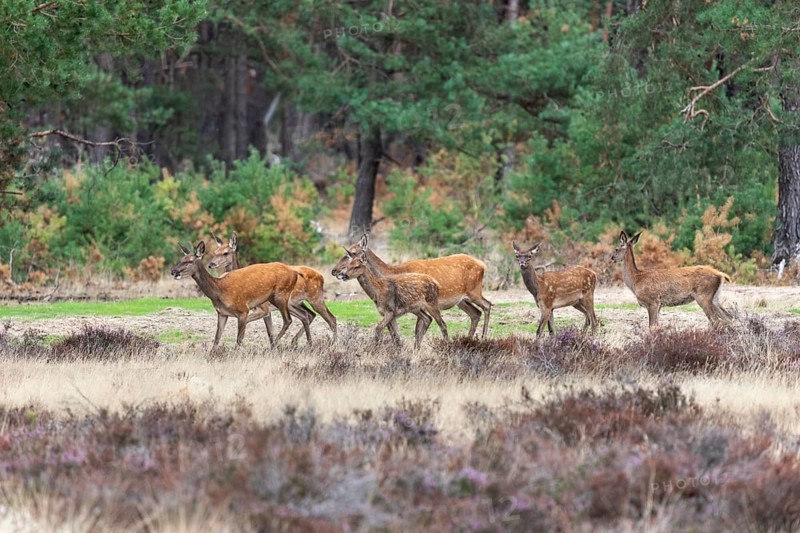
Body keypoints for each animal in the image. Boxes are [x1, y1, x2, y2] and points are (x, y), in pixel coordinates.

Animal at [170, 241, 307, 348]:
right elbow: (216, 339)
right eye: (181, 259)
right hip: (275, 298)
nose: (173, 272)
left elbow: (239, 339)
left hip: (281, 296)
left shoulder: (243, 310)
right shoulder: (222, 313)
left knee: (289, 319)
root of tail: (295, 272)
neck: (219, 291)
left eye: (190, 261)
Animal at [207, 231, 337, 346]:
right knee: (310, 315)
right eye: (215, 251)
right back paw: (297, 342)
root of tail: (322, 276)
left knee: (331, 319)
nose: (211, 264)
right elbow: (270, 333)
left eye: (225, 253)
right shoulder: (266, 311)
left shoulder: (264, 308)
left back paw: (330, 344)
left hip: (314, 298)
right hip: (297, 303)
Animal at [331, 233, 492, 338]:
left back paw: (483, 338)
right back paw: (468, 339)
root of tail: (482, 265)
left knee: (487, 305)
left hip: (474, 291)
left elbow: (417, 331)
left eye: (352, 253)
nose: (334, 271)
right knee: (476, 313)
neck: (394, 272)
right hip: (461, 300)